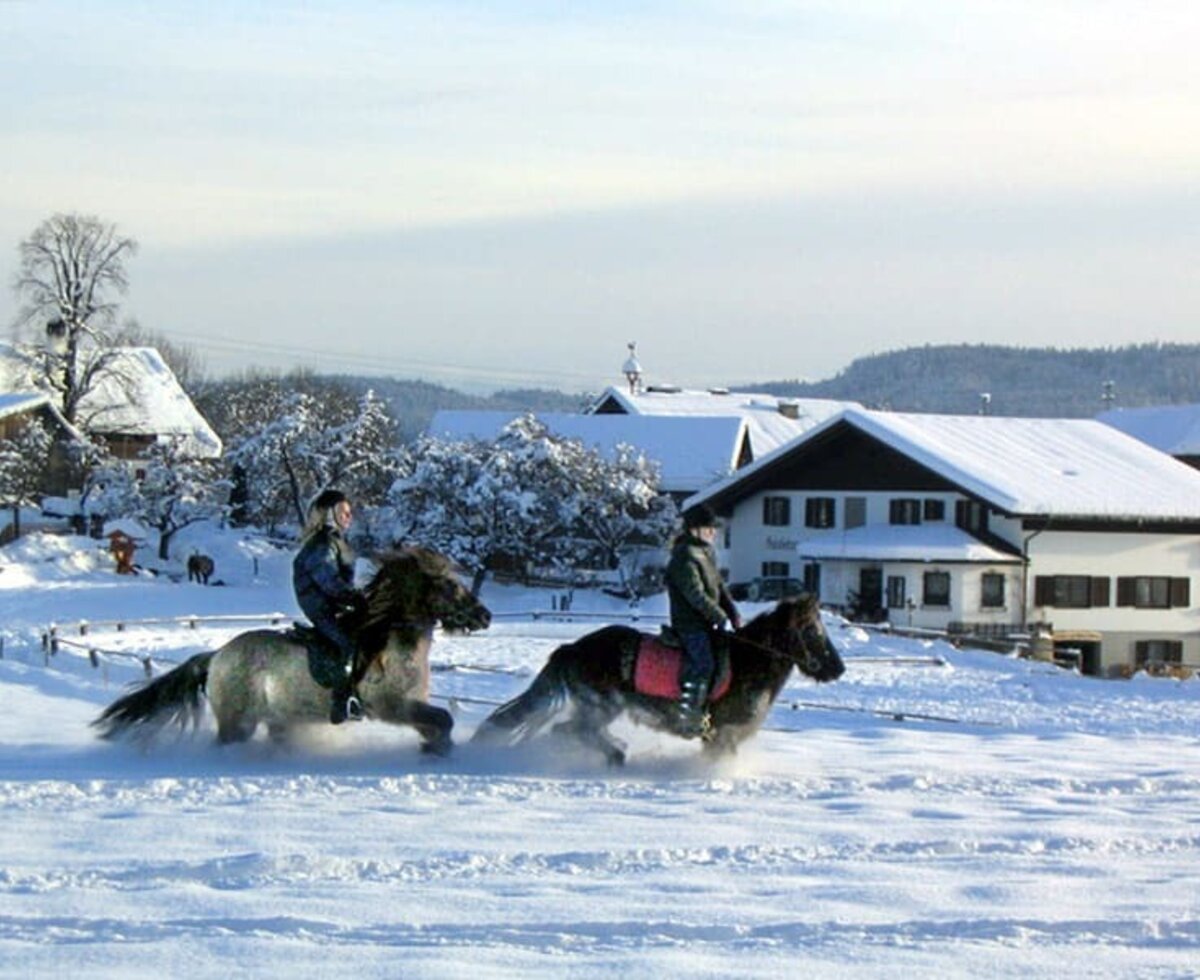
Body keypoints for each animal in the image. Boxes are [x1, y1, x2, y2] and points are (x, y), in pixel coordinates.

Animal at [91, 546, 489, 753]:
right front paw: (438, 751)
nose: (484, 616)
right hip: (237, 721)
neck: (387, 638)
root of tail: (217, 657)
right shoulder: (391, 706)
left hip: (277, 718)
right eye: (450, 586)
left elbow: (439, 723)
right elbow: (444, 719)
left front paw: (434, 748)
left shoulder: (410, 706)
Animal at [468, 597, 844, 762]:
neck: (748, 661)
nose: (838, 669)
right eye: (813, 631)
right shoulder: (724, 734)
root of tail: (572, 649)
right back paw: (614, 755)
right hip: (601, 706)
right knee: (570, 730)